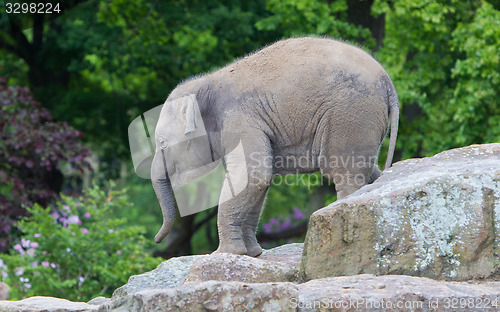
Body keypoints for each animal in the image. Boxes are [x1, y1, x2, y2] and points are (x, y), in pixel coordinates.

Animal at [151, 36, 398, 256]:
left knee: (344, 174)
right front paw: (251, 254)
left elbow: (254, 176)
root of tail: (388, 82)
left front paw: (223, 254)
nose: (156, 239)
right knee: (367, 170)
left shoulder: (240, 120)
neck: (206, 83)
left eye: (162, 142)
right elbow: (259, 181)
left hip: (349, 115)